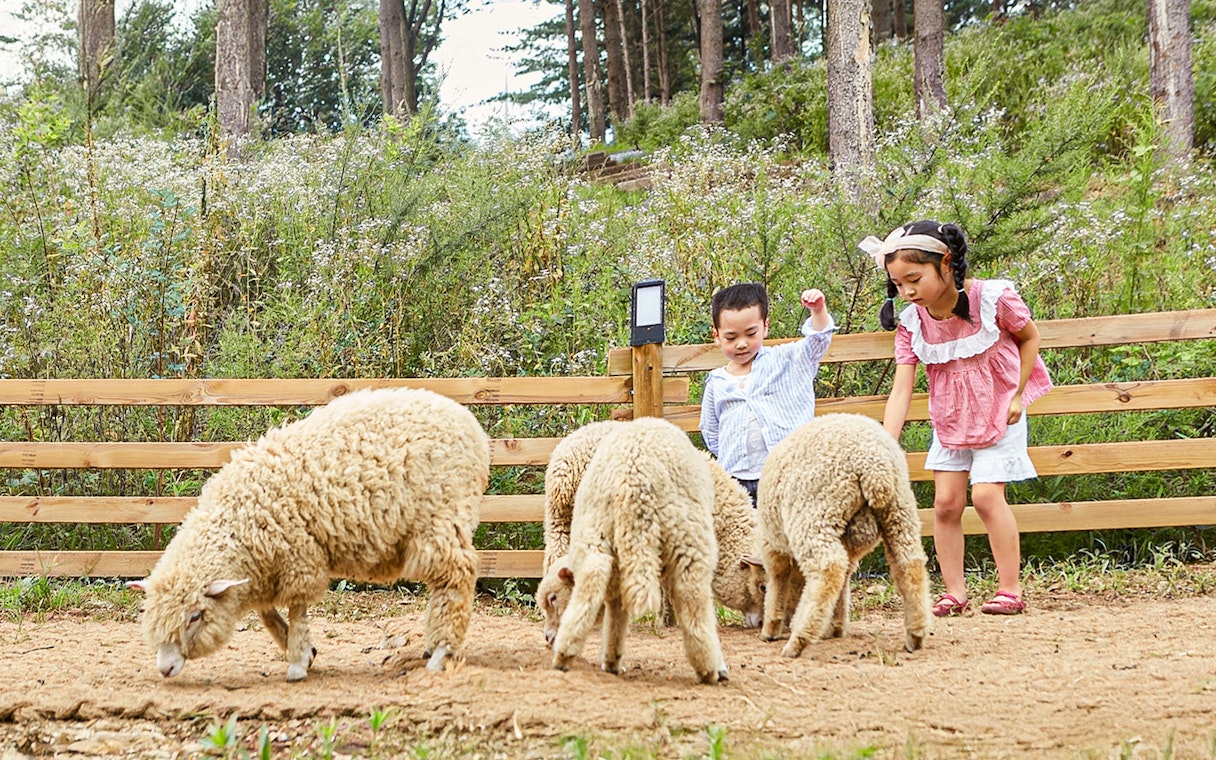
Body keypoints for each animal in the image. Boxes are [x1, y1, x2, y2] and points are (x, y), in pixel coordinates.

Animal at [127, 387, 490, 682]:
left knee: (455, 580)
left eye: (195, 616)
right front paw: (300, 648)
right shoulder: (267, 565)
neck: (239, 517)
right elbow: (267, 612)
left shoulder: (298, 554)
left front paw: (298, 660)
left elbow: (297, 608)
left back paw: (441, 653)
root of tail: (472, 428)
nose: (164, 668)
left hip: (441, 518)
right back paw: (432, 645)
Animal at [549, 417, 729, 684]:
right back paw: (710, 669)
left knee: (590, 583)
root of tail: (633, 480)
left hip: (592, 530)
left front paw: (612, 657)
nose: (548, 637)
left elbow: (617, 608)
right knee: (693, 599)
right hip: (688, 541)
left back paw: (566, 654)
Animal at [755, 413, 931, 658]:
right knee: (910, 565)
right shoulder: (850, 547)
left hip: (814, 515)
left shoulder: (772, 544)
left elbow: (777, 580)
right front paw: (836, 627)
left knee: (829, 569)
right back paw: (915, 635)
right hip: (899, 512)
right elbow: (844, 580)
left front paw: (771, 627)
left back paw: (798, 641)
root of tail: (875, 467)